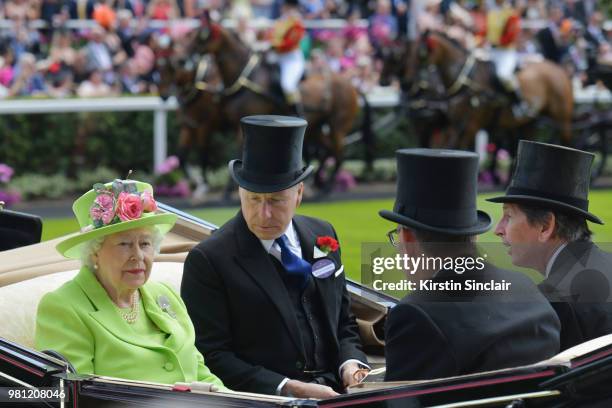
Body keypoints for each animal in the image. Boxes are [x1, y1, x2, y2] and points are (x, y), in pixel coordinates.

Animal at [188, 13, 372, 191]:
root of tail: (351, 85)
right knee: (329, 150)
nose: (185, 56)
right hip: (317, 128)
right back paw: (317, 182)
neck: (247, 76)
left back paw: (326, 188)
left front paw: (227, 192)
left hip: (337, 127)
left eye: (202, 34)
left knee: (339, 154)